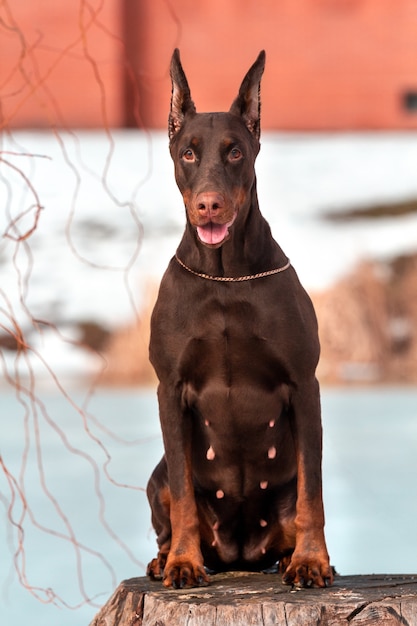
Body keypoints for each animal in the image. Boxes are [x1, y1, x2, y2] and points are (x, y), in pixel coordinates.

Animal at [146, 50, 332, 588]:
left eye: (234, 153)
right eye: (188, 153)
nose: (209, 205)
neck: (224, 276)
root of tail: (241, 556)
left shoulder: (304, 383)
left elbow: (313, 491)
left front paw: (312, 561)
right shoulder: (170, 387)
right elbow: (184, 495)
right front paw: (183, 563)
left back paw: (291, 559)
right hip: (156, 476)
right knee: (169, 501)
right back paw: (165, 559)